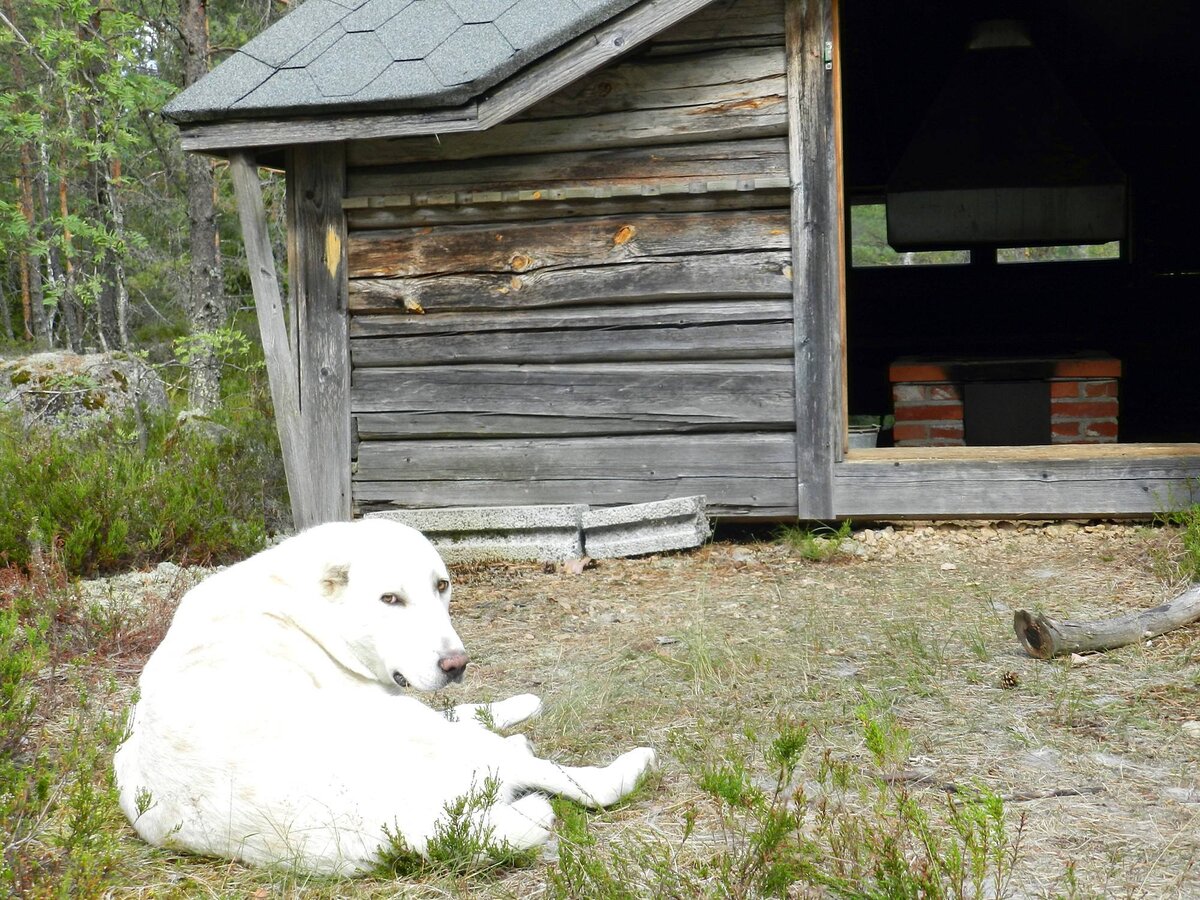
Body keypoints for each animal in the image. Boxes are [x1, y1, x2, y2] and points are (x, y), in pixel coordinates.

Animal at [112, 518, 657, 878]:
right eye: (389, 599)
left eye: (443, 586)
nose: (457, 665)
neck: (300, 603)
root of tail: (401, 826)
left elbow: (460, 707)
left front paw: (511, 704)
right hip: (435, 739)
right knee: (580, 783)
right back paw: (626, 763)